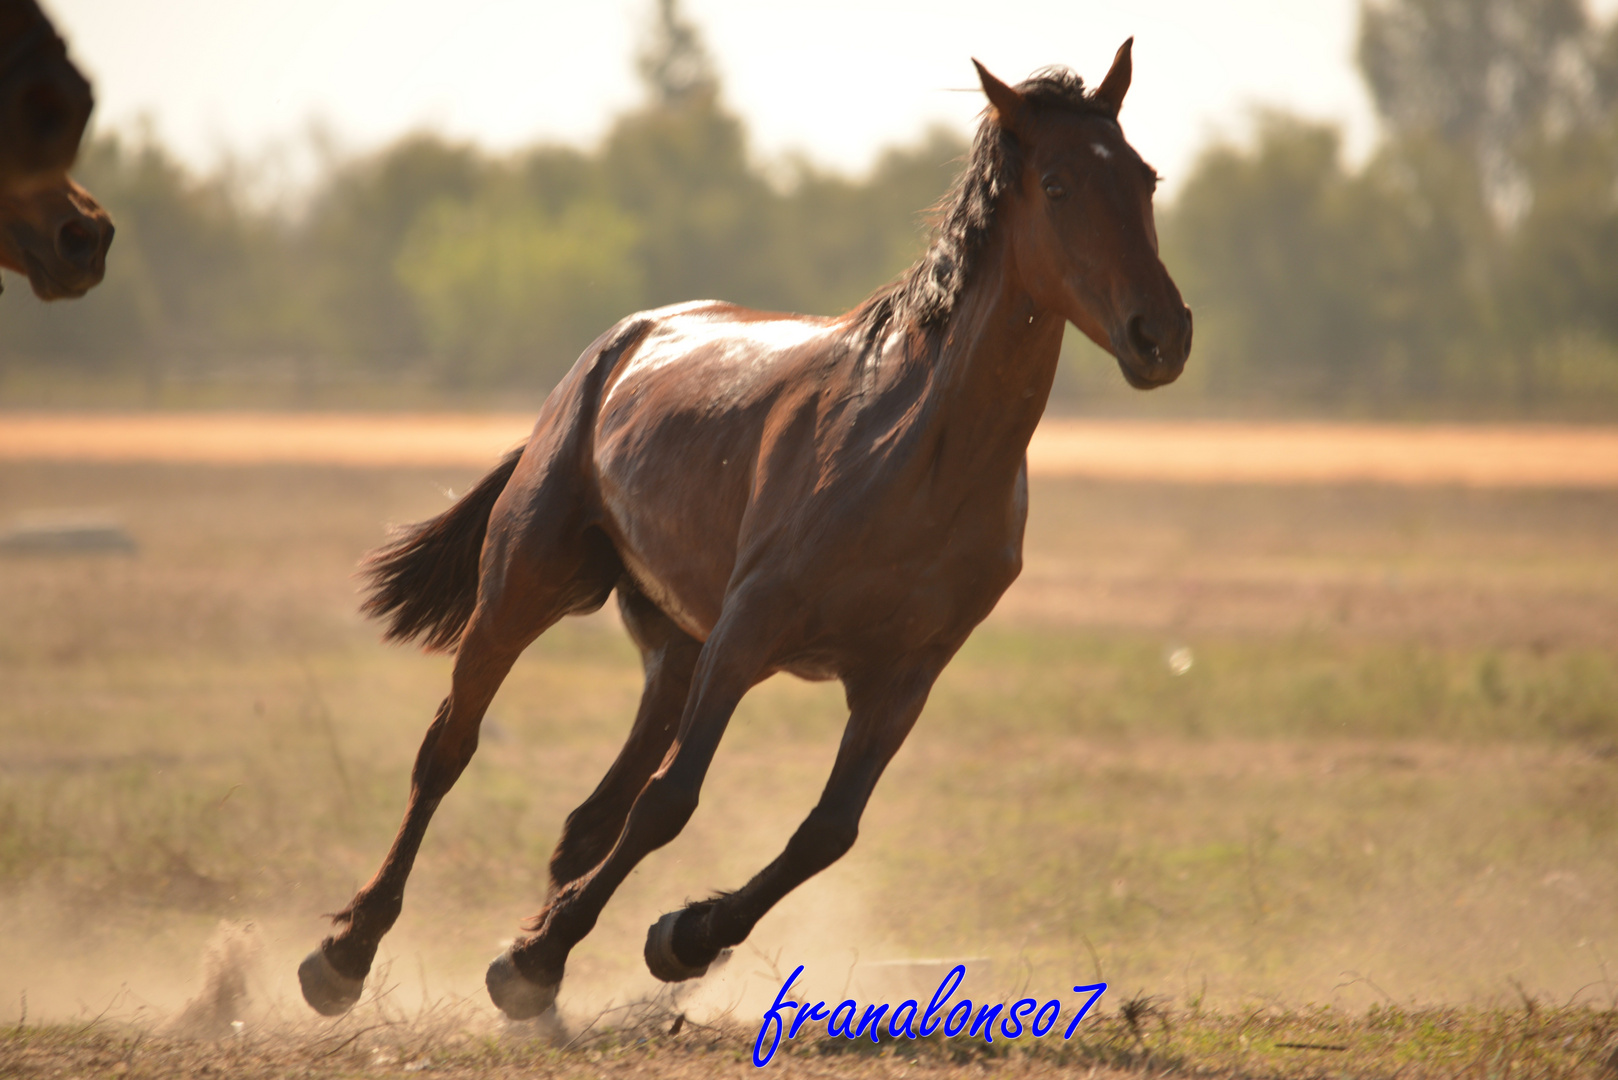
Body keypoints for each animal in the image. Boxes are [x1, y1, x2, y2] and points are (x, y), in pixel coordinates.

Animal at [300, 42, 1190, 1023]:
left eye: (1145, 177)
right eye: (1060, 184)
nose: (1162, 333)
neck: (917, 452)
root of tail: (618, 344)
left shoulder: (905, 675)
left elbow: (826, 831)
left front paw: (676, 937)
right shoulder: (746, 632)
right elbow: (672, 802)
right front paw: (536, 957)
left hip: (672, 649)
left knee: (587, 820)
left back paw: (546, 984)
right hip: (526, 588)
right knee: (449, 752)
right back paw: (346, 952)